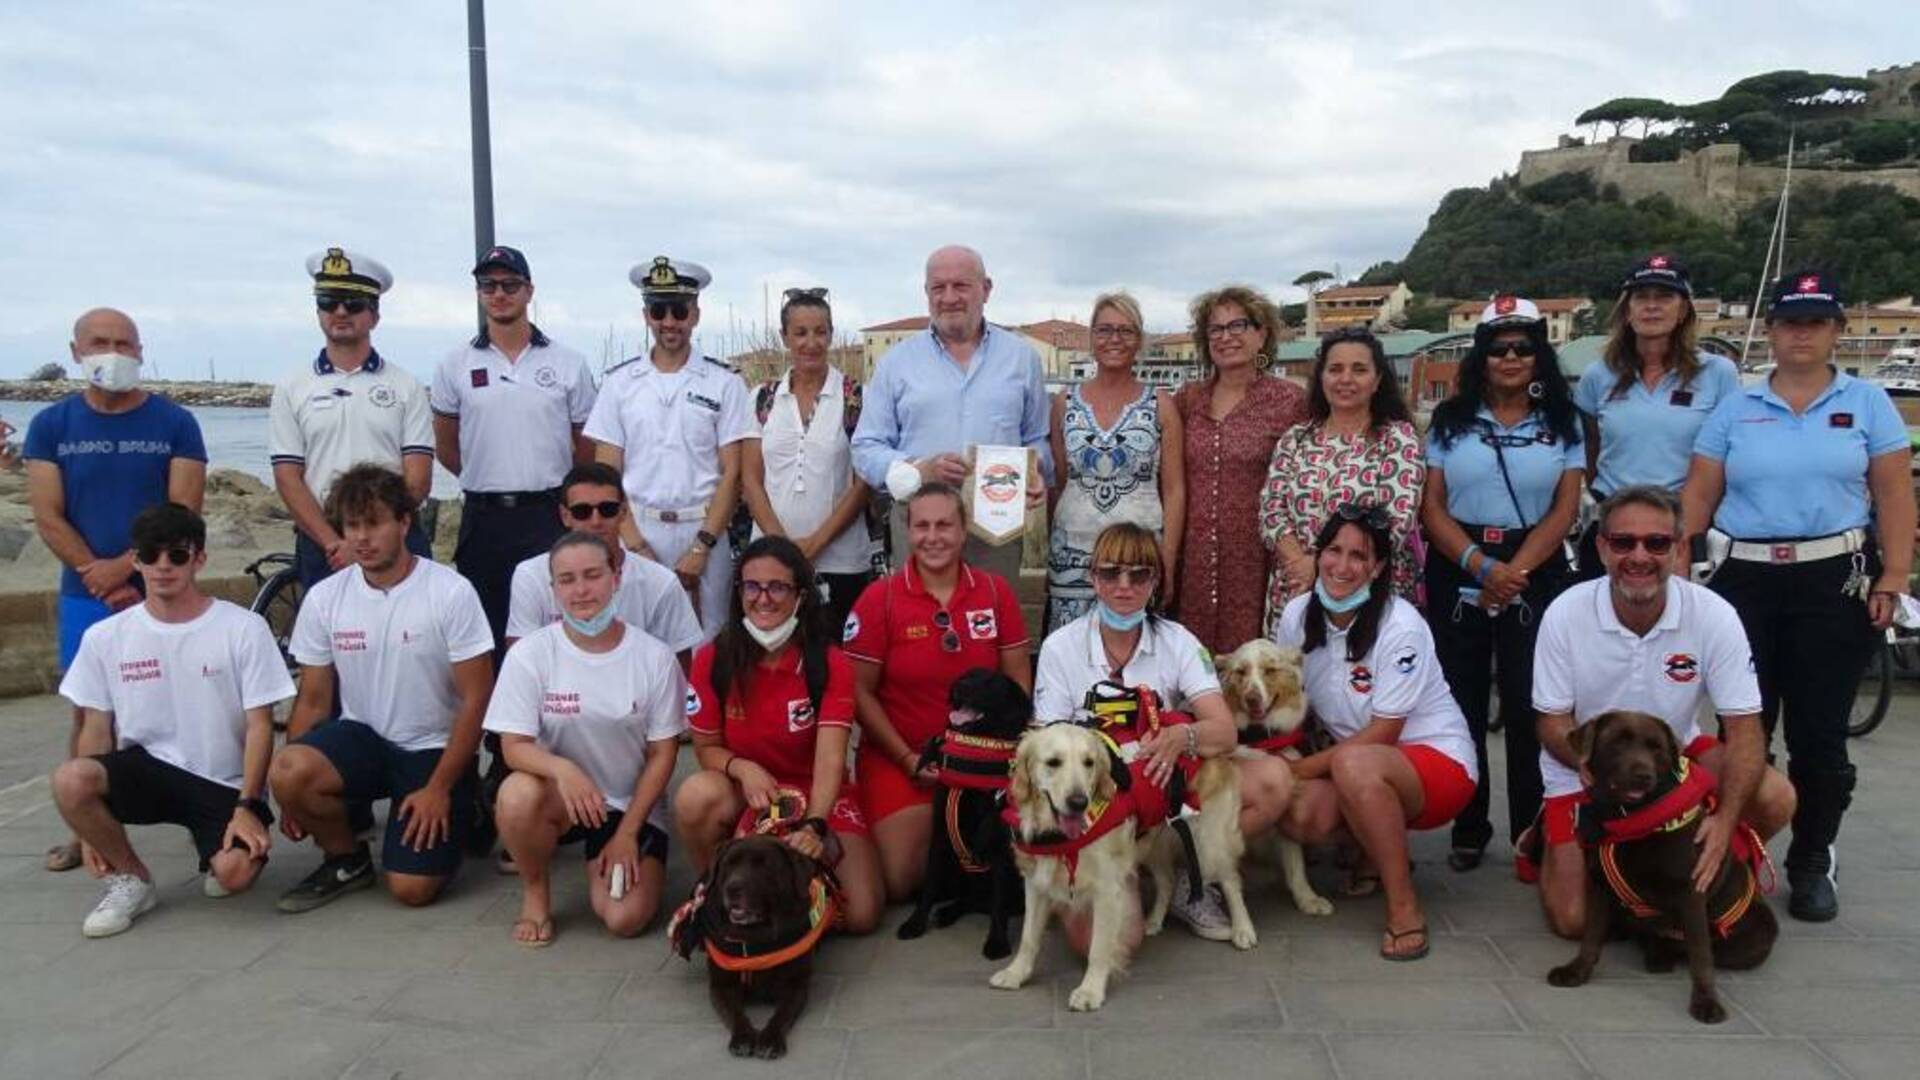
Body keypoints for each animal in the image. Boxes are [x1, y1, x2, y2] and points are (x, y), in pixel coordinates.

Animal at [668, 834, 833, 1053]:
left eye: (763, 865)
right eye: (729, 864)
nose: (732, 888)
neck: (754, 936)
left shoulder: (795, 984)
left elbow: (782, 1014)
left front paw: (770, 1039)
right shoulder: (722, 985)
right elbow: (735, 1014)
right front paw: (744, 1037)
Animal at [890, 668, 1029, 953]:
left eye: (990, 682)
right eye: (965, 676)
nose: (959, 687)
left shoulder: (1000, 847)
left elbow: (999, 902)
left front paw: (997, 942)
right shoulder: (939, 837)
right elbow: (928, 888)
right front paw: (915, 923)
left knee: (991, 902)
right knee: (968, 898)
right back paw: (947, 912)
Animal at [1551, 707, 1774, 1014]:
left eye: (1656, 748)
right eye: (1618, 742)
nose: (1643, 775)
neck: (1629, 820)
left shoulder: (1690, 892)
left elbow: (1701, 955)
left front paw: (1706, 1001)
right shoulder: (1597, 885)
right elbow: (1591, 935)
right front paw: (1578, 971)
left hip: (1755, 936)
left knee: (1702, 950)